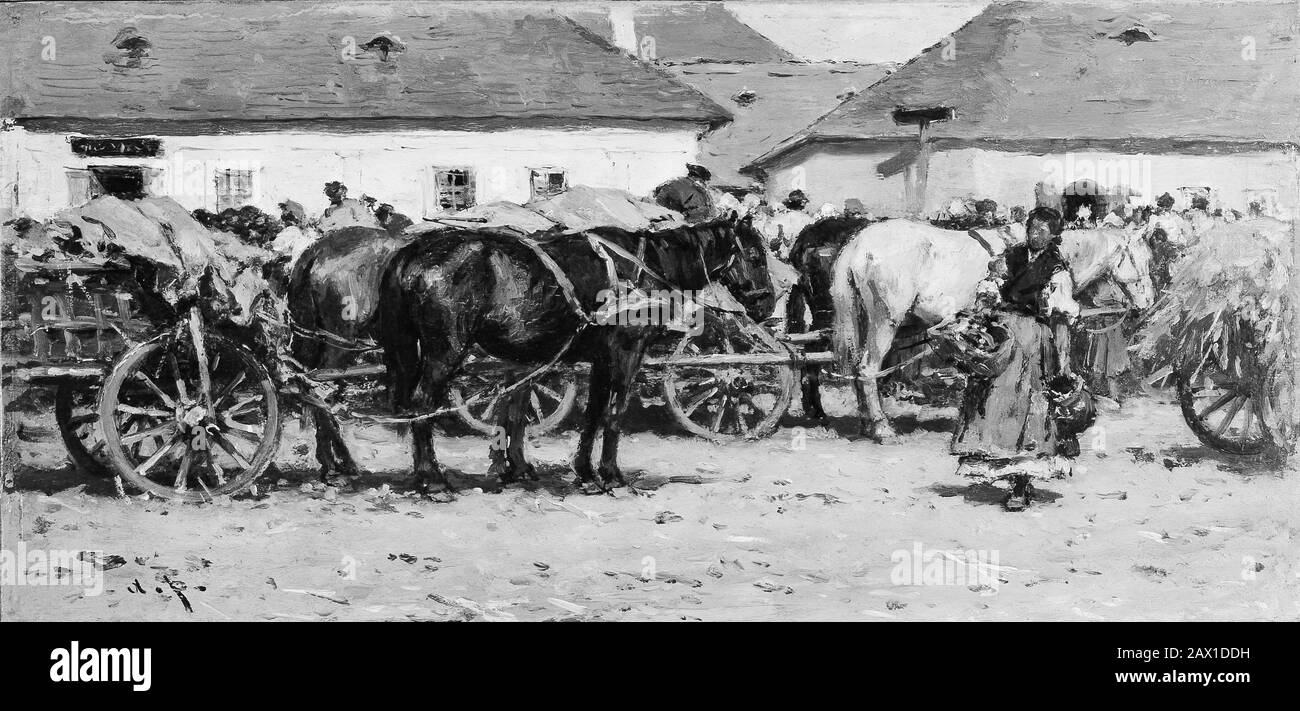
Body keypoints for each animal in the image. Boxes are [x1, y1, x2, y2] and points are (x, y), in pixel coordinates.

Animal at [371, 214, 769, 499]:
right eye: (754, 256)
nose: (765, 304)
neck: (647, 268)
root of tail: (413, 252)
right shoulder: (626, 352)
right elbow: (615, 413)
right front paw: (611, 476)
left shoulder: (600, 358)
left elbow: (592, 415)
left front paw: (585, 473)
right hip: (445, 351)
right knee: (422, 403)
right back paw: (433, 481)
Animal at [826, 219, 1154, 441]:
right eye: (1140, 259)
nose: (1148, 303)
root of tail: (857, 243)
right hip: (885, 322)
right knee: (867, 369)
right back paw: (880, 427)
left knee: (857, 368)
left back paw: (867, 423)